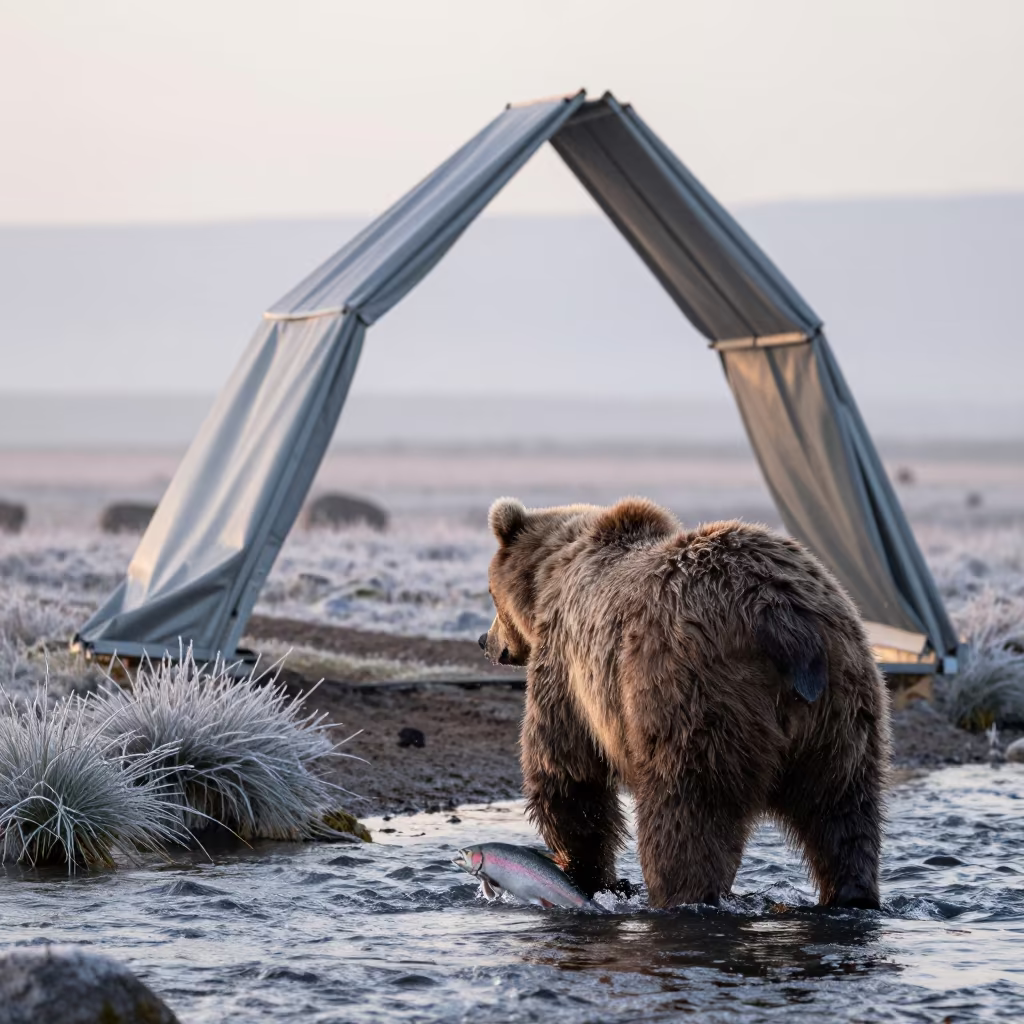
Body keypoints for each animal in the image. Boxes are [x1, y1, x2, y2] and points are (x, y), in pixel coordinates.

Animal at [479, 496, 891, 910]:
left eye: (490, 592)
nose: (485, 640)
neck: (550, 574)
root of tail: (784, 619)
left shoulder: (567, 667)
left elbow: (567, 773)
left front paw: (587, 874)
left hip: (694, 697)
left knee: (687, 811)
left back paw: (679, 895)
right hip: (843, 704)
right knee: (842, 811)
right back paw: (852, 894)